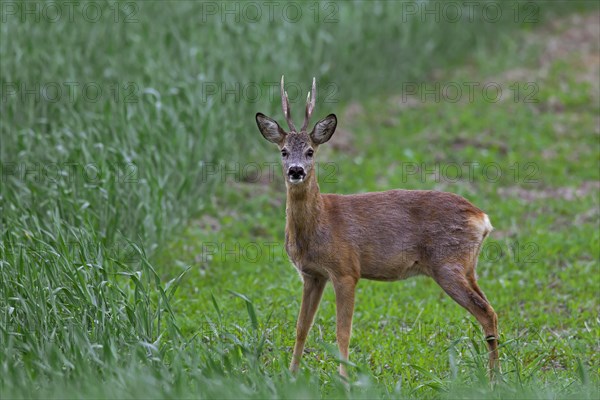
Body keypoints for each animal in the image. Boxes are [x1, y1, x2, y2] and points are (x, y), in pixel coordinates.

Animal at [255, 76, 500, 380]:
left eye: (310, 151)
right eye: (284, 151)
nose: (296, 170)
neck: (319, 225)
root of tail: (482, 218)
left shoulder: (346, 270)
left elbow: (343, 332)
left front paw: (344, 379)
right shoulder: (312, 275)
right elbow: (301, 328)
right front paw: (291, 375)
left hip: (447, 264)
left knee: (486, 312)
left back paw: (493, 379)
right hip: (467, 266)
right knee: (491, 309)